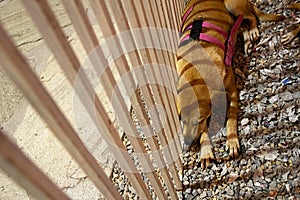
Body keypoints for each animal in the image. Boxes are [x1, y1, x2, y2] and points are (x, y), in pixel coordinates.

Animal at [177, 0, 284, 168]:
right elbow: (204, 130)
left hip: (233, 6)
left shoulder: (232, 91)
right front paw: (206, 151)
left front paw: (232, 140)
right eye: (181, 118)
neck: (195, 67)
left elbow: (231, 117)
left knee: (251, 17)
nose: (187, 144)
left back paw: (253, 32)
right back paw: (246, 41)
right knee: (242, 26)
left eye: (197, 121)